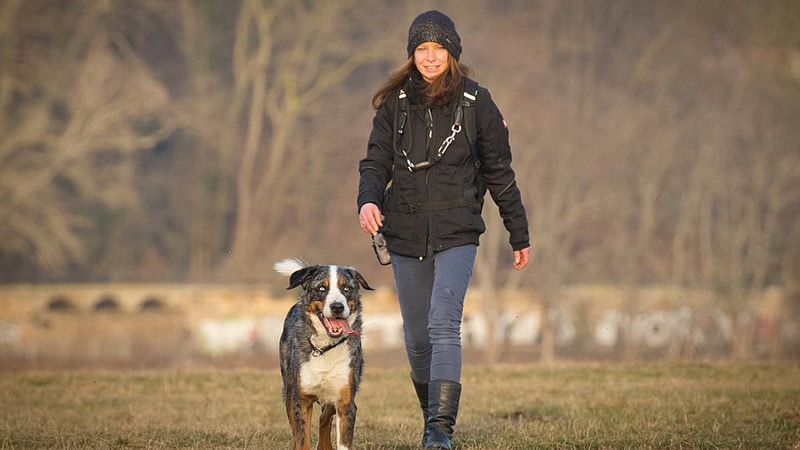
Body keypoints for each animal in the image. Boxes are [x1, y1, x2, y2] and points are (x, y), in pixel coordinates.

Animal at [274, 256, 374, 450]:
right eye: (322, 288)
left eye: (346, 288)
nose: (337, 307)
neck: (324, 348)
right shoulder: (301, 400)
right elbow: (302, 439)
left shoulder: (345, 400)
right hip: (289, 388)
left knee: (325, 416)